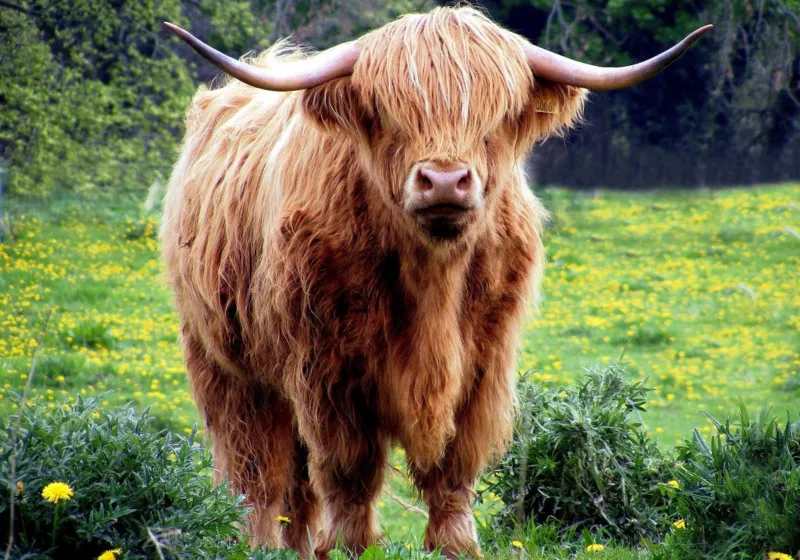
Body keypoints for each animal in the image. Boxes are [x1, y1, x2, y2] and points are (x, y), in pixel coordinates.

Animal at [161, 7, 709, 558]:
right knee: (254, 468)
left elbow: (454, 466)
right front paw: (349, 546)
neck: (433, 283)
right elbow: (349, 468)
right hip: (225, 364)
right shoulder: (327, 369)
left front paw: (456, 545)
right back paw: (256, 542)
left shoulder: (483, 365)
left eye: (495, 117)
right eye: (388, 113)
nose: (445, 181)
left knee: (293, 482)